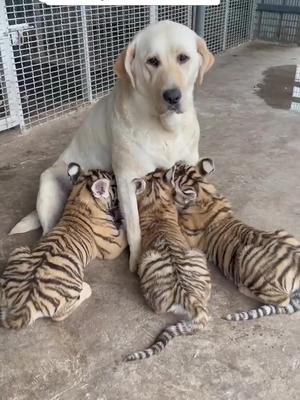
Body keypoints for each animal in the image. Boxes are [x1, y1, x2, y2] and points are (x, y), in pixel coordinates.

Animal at [10, 21, 214, 272]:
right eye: (152, 61)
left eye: (183, 58)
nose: (173, 96)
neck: (165, 128)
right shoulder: (126, 179)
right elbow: (134, 227)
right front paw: (136, 261)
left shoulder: (187, 163)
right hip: (49, 185)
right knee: (47, 230)